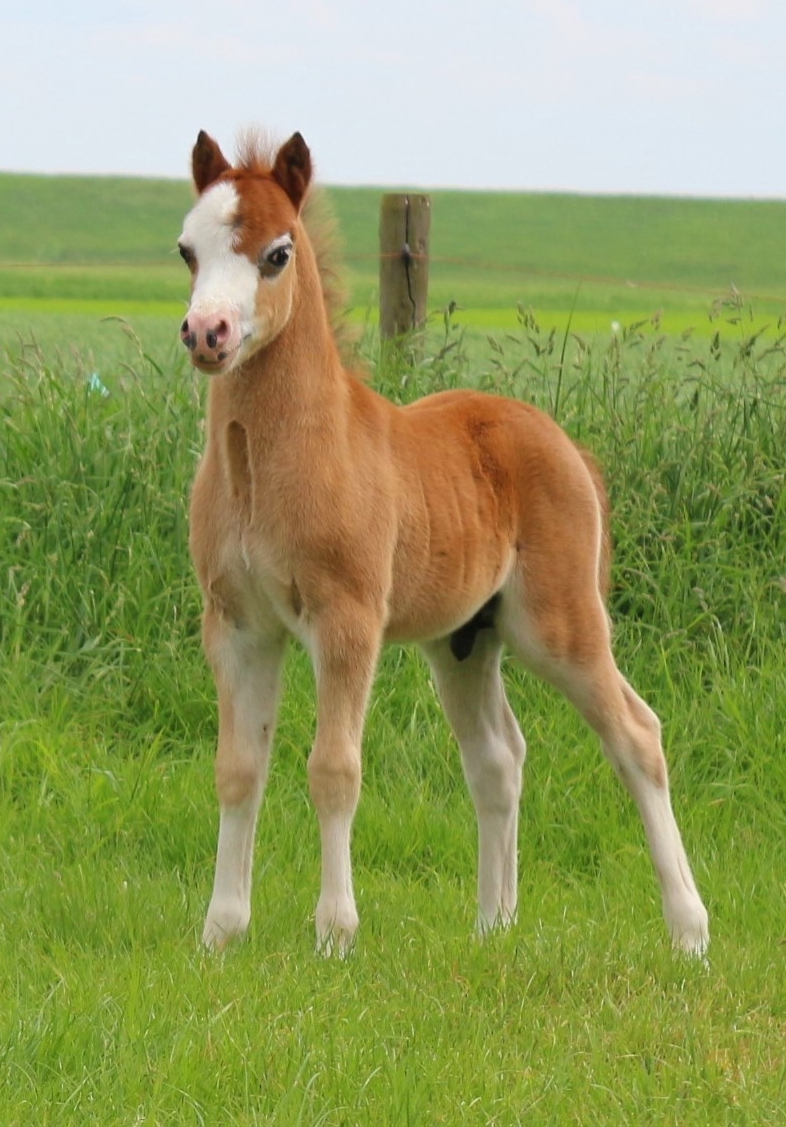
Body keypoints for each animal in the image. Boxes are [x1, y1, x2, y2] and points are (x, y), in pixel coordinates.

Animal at [175, 134, 703, 960]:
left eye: (277, 253)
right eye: (187, 250)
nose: (208, 335)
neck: (280, 462)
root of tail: (567, 446)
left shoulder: (347, 621)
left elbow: (334, 768)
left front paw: (335, 934)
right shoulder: (237, 626)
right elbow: (238, 768)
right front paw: (222, 932)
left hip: (558, 625)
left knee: (636, 734)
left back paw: (688, 930)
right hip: (466, 639)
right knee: (498, 758)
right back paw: (493, 927)